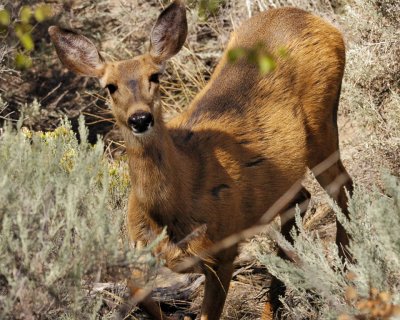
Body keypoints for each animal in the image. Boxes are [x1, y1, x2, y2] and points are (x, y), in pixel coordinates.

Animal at [49, 1, 354, 318]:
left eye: (154, 76)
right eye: (110, 86)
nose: (140, 118)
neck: (169, 213)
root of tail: (316, 21)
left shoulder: (223, 251)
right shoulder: (140, 249)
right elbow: (138, 294)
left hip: (321, 126)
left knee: (341, 185)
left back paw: (347, 270)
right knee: (304, 198)